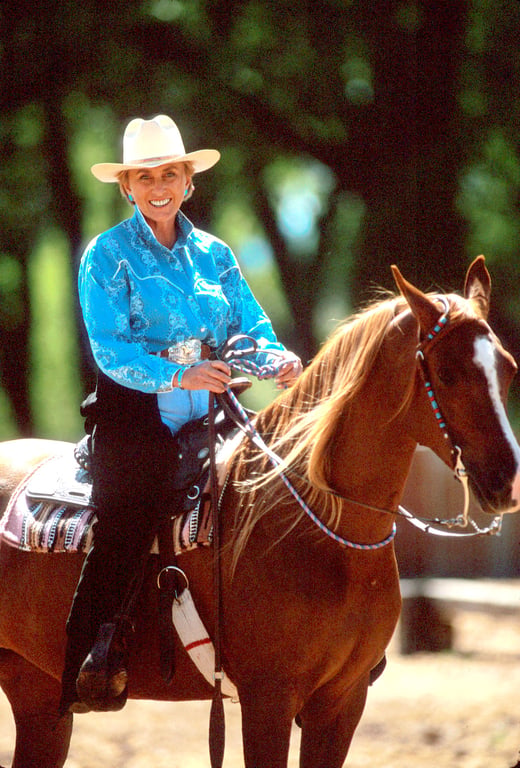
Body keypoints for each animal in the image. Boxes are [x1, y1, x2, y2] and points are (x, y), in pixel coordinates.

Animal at [1, 256, 520, 768]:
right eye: (447, 373)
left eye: (509, 369)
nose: (506, 480)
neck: (325, 535)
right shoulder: (268, 699)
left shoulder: (342, 702)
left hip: (37, 697)